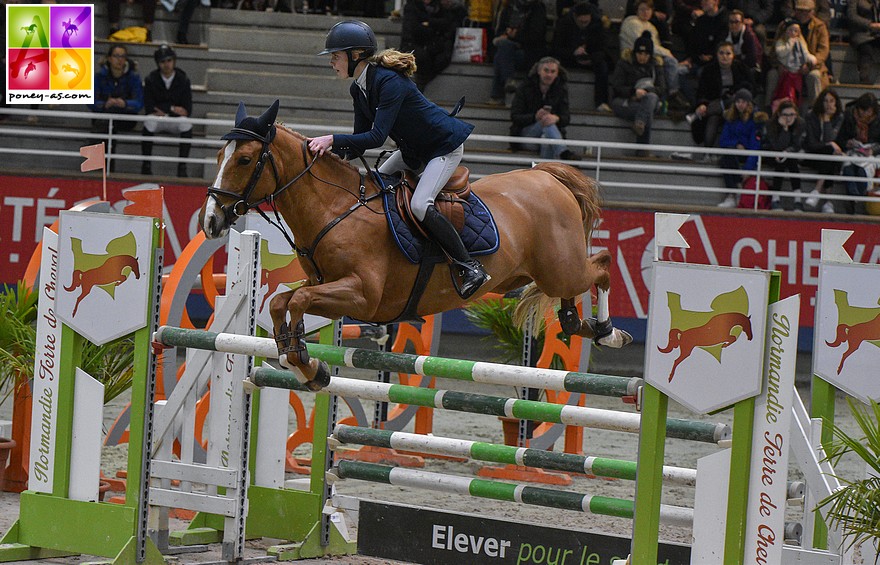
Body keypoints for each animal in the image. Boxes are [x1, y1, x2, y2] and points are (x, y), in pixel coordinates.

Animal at [198, 101, 632, 390]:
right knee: (578, 287)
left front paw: (303, 361)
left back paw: (608, 331)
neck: (336, 209)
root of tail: (548, 176)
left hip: (561, 268)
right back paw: (575, 320)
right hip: (535, 273)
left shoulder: (362, 297)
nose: (211, 221)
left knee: (602, 263)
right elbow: (280, 302)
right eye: (219, 155)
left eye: (245, 160)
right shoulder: (324, 285)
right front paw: (304, 363)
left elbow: (298, 302)